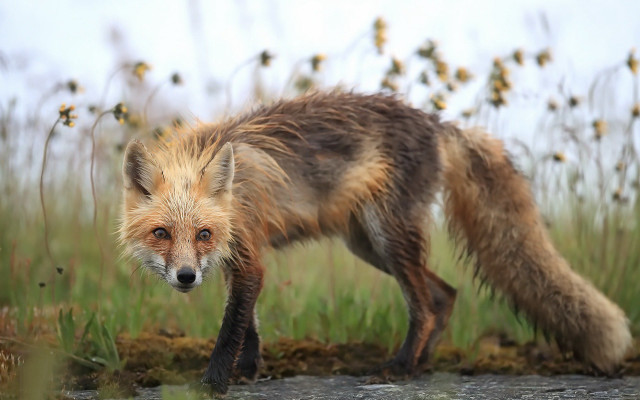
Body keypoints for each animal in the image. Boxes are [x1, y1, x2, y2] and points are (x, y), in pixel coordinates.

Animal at [120, 91, 631, 395]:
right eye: (161, 233)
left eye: (203, 234)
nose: (186, 277)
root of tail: (437, 123)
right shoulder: (237, 259)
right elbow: (252, 325)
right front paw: (248, 371)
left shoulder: (246, 254)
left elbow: (231, 327)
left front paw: (213, 382)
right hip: (369, 244)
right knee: (445, 294)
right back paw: (420, 365)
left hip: (387, 236)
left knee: (424, 305)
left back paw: (400, 368)